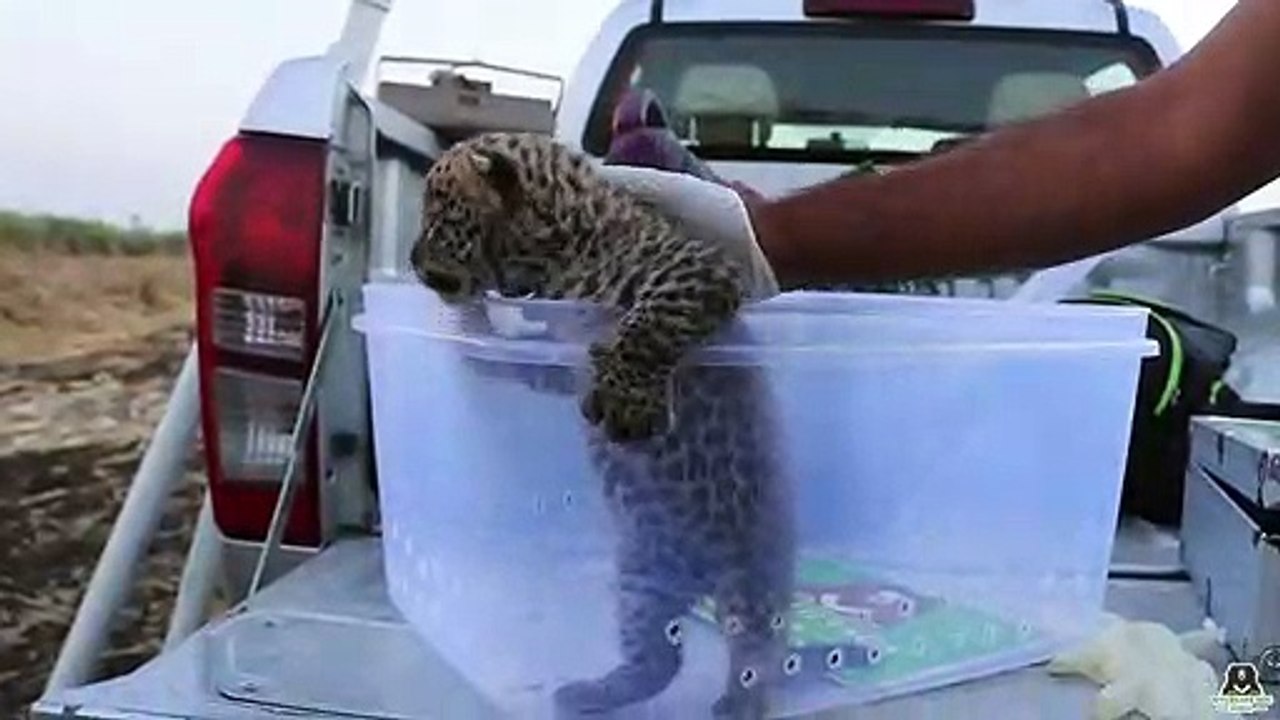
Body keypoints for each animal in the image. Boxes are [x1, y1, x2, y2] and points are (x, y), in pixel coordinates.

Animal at [410, 131, 821, 719]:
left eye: (437, 213)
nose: (410, 258)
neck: (563, 250)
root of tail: (697, 578)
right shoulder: (563, 361)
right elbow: (513, 360)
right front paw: (469, 321)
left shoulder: (695, 272)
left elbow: (650, 323)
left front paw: (629, 400)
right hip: (639, 581)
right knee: (657, 659)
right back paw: (591, 692)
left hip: (752, 569)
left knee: (761, 647)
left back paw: (742, 700)